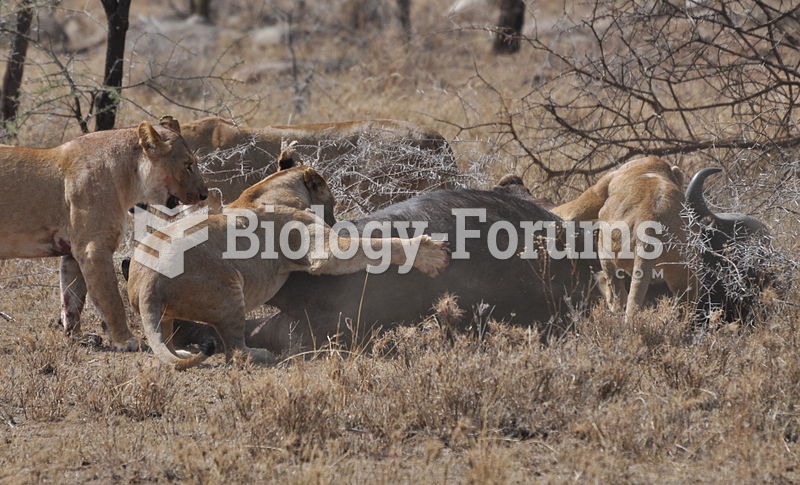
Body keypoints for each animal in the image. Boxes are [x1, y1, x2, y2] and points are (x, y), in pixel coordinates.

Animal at [0, 119, 206, 350]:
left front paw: (76, 337)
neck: (128, 179)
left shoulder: (72, 253)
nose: (204, 194)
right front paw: (126, 341)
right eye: (188, 165)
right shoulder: (93, 248)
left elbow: (72, 298)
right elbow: (111, 299)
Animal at [125, 146, 450, 368]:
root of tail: (146, 284)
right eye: (332, 202)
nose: (336, 220)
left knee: (168, 336)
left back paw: (180, 352)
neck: (270, 188)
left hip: (170, 309)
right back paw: (261, 354)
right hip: (229, 289)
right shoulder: (324, 250)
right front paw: (428, 253)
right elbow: (380, 244)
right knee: (236, 351)